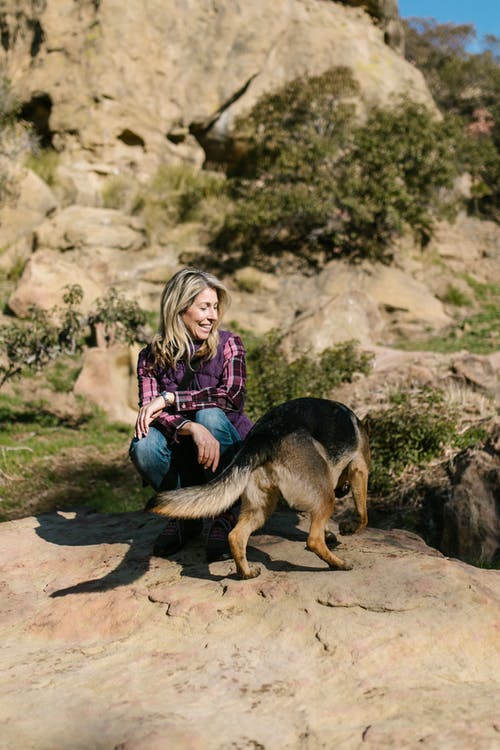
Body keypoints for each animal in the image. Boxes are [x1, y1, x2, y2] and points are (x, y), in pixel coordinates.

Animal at [146, 400, 370, 580]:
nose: (342, 491)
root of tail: (262, 437)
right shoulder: (360, 468)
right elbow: (363, 514)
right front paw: (349, 528)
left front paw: (331, 532)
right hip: (324, 497)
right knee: (313, 540)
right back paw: (338, 564)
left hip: (260, 507)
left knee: (236, 536)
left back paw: (246, 573)